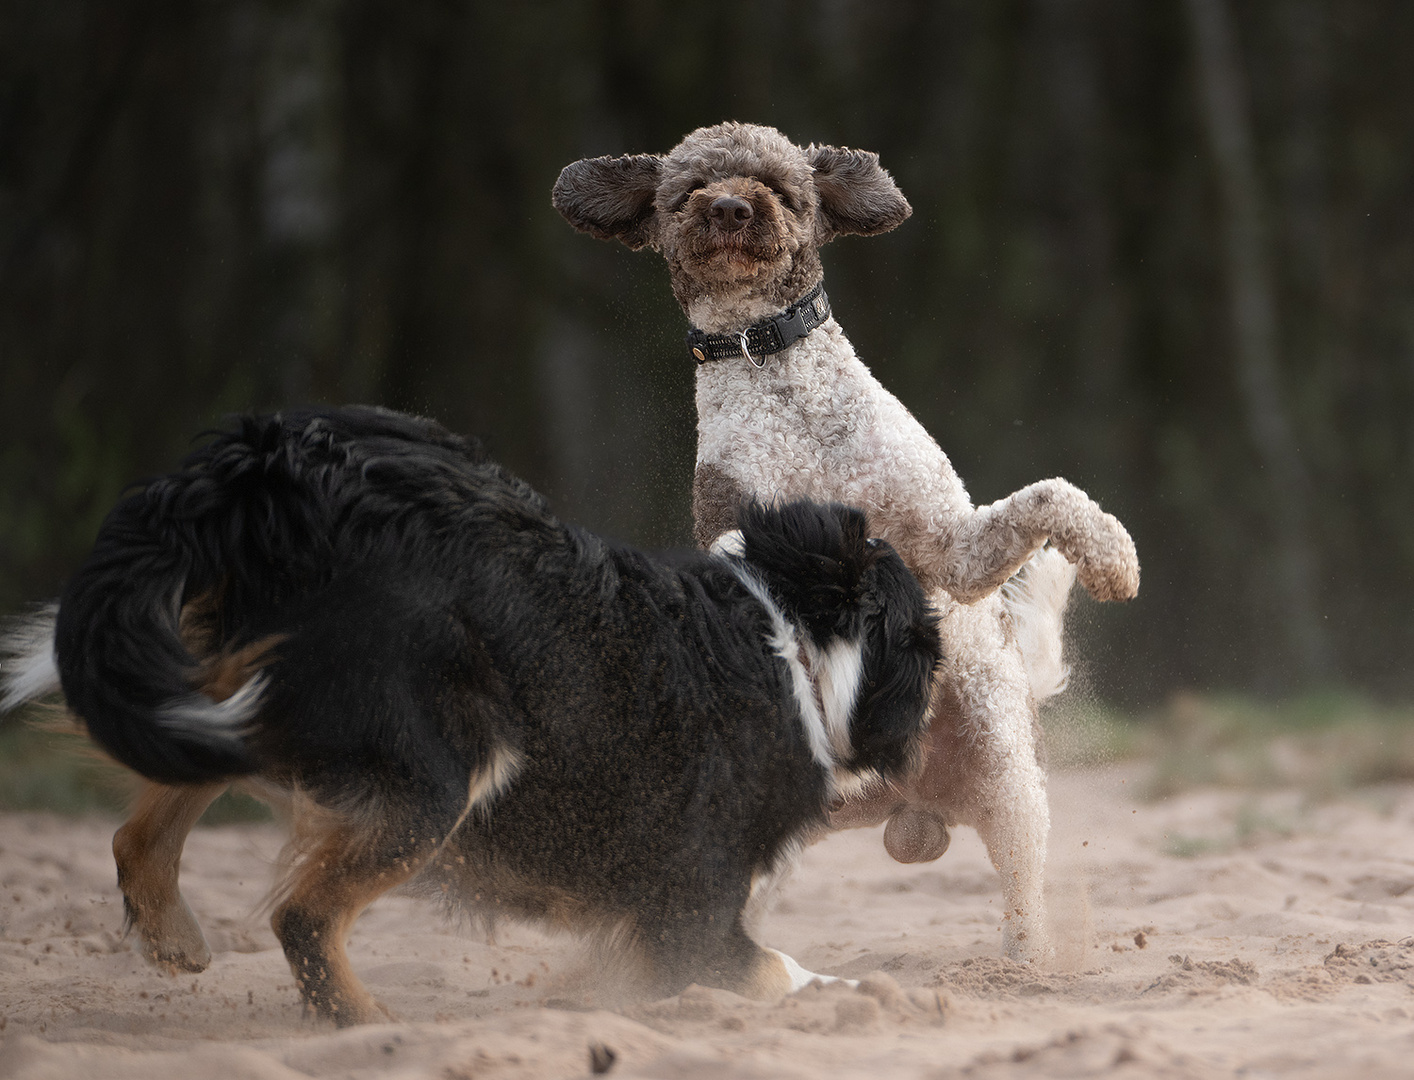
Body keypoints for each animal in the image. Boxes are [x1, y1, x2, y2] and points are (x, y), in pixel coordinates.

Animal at [551, 120, 1136, 961]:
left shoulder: (953, 552)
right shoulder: (742, 525)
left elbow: (1051, 495)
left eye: (781, 186)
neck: (777, 373)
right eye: (688, 190)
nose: (730, 208)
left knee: (1022, 884)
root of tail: (908, 803)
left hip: (1004, 766)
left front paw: (1115, 561)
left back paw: (1029, 960)